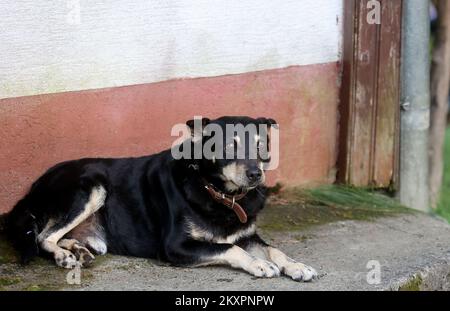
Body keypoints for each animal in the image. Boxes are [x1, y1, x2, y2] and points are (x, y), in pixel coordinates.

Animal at [5, 116, 318, 282]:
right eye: (230, 146)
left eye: (262, 146)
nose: (256, 174)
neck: (219, 194)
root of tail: (34, 186)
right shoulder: (176, 246)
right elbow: (230, 249)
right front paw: (259, 264)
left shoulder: (248, 235)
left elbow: (274, 249)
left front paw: (297, 265)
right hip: (92, 186)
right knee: (43, 236)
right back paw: (64, 256)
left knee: (60, 235)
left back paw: (78, 250)